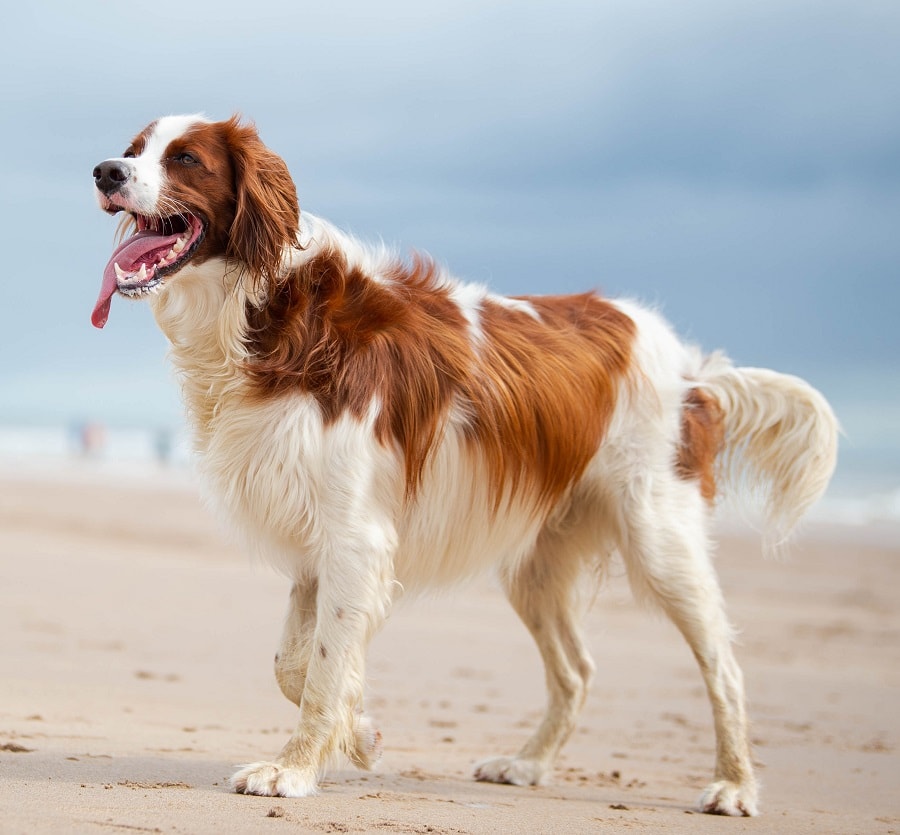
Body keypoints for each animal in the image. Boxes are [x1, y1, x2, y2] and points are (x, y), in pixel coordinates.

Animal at [91, 116, 836, 816]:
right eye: (134, 148)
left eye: (186, 158)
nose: (104, 171)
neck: (269, 309)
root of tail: (693, 367)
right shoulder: (318, 545)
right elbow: (296, 665)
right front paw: (362, 733)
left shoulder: (355, 537)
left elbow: (322, 668)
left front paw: (294, 770)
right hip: (537, 564)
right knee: (577, 669)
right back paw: (529, 764)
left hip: (660, 537)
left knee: (724, 667)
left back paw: (734, 785)